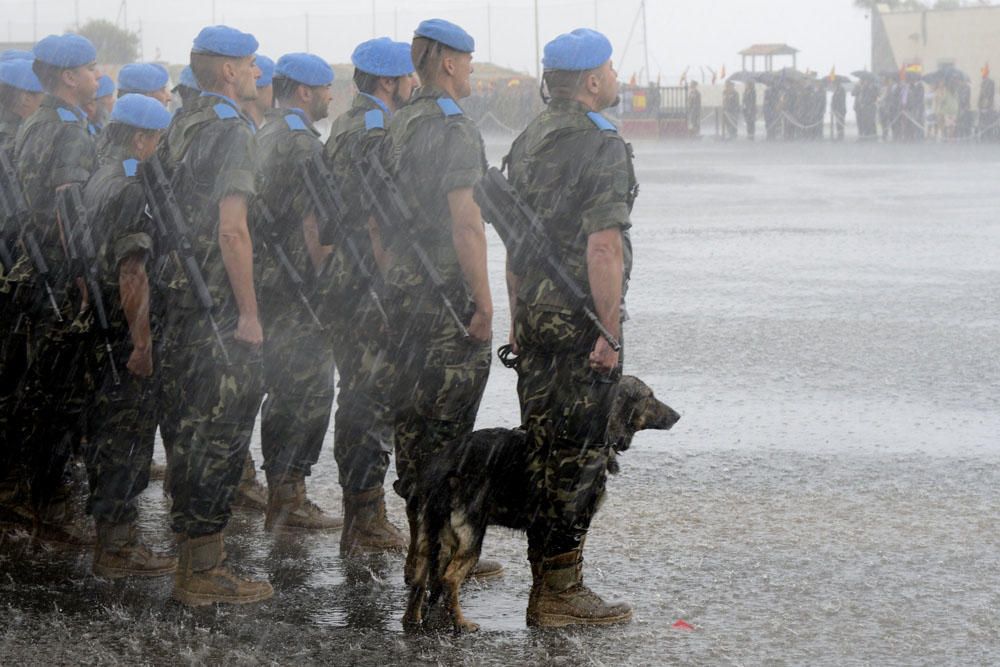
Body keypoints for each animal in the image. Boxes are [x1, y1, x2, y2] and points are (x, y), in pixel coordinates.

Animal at [404, 376, 680, 632]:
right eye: (649, 396)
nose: (678, 416)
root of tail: (444, 469)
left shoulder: (541, 526)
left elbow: (541, 566)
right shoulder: (575, 518)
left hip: (428, 535)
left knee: (419, 578)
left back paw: (413, 619)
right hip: (470, 537)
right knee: (449, 579)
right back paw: (460, 623)